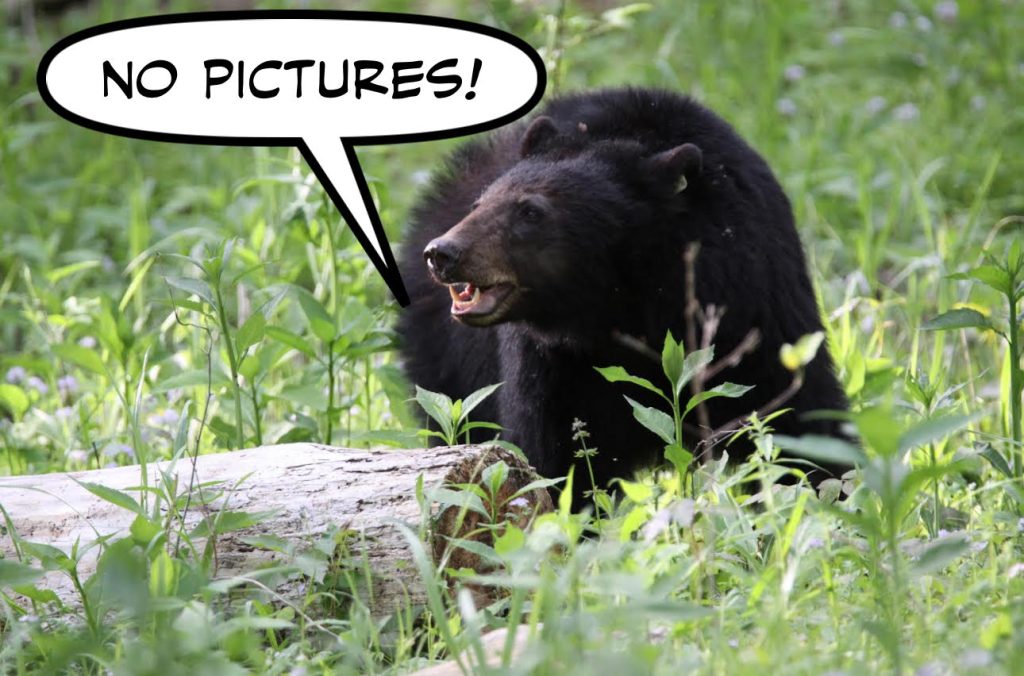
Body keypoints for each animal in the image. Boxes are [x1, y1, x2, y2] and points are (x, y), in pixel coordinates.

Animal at [396, 87, 850, 494]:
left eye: (531, 211)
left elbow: (800, 417)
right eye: (481, 204)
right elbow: (552, 454)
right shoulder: (551, 365)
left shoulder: (753, 307)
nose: (443, 253)